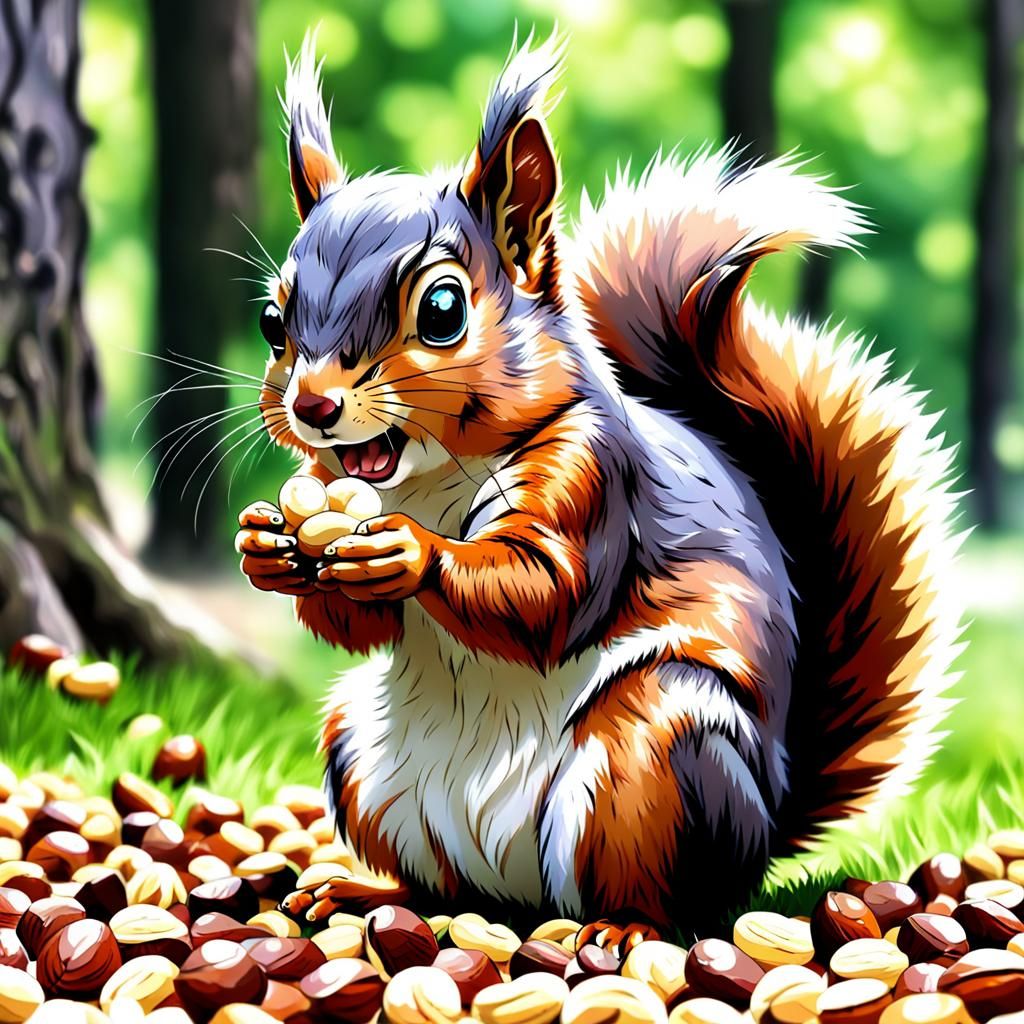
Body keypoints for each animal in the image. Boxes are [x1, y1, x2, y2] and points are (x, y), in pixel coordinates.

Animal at [235, 33, 963, 940]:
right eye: (273, 322)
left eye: (442, 309)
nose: (313, 406)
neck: (426, 477)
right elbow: (358, 625)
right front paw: (265, 549)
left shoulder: (591, 478)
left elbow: (547, 591)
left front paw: (407, 553)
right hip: (359, 753)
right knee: (447, 893)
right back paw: (367, 894)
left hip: (653, 758)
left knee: (668, 898)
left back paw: (623, 929)